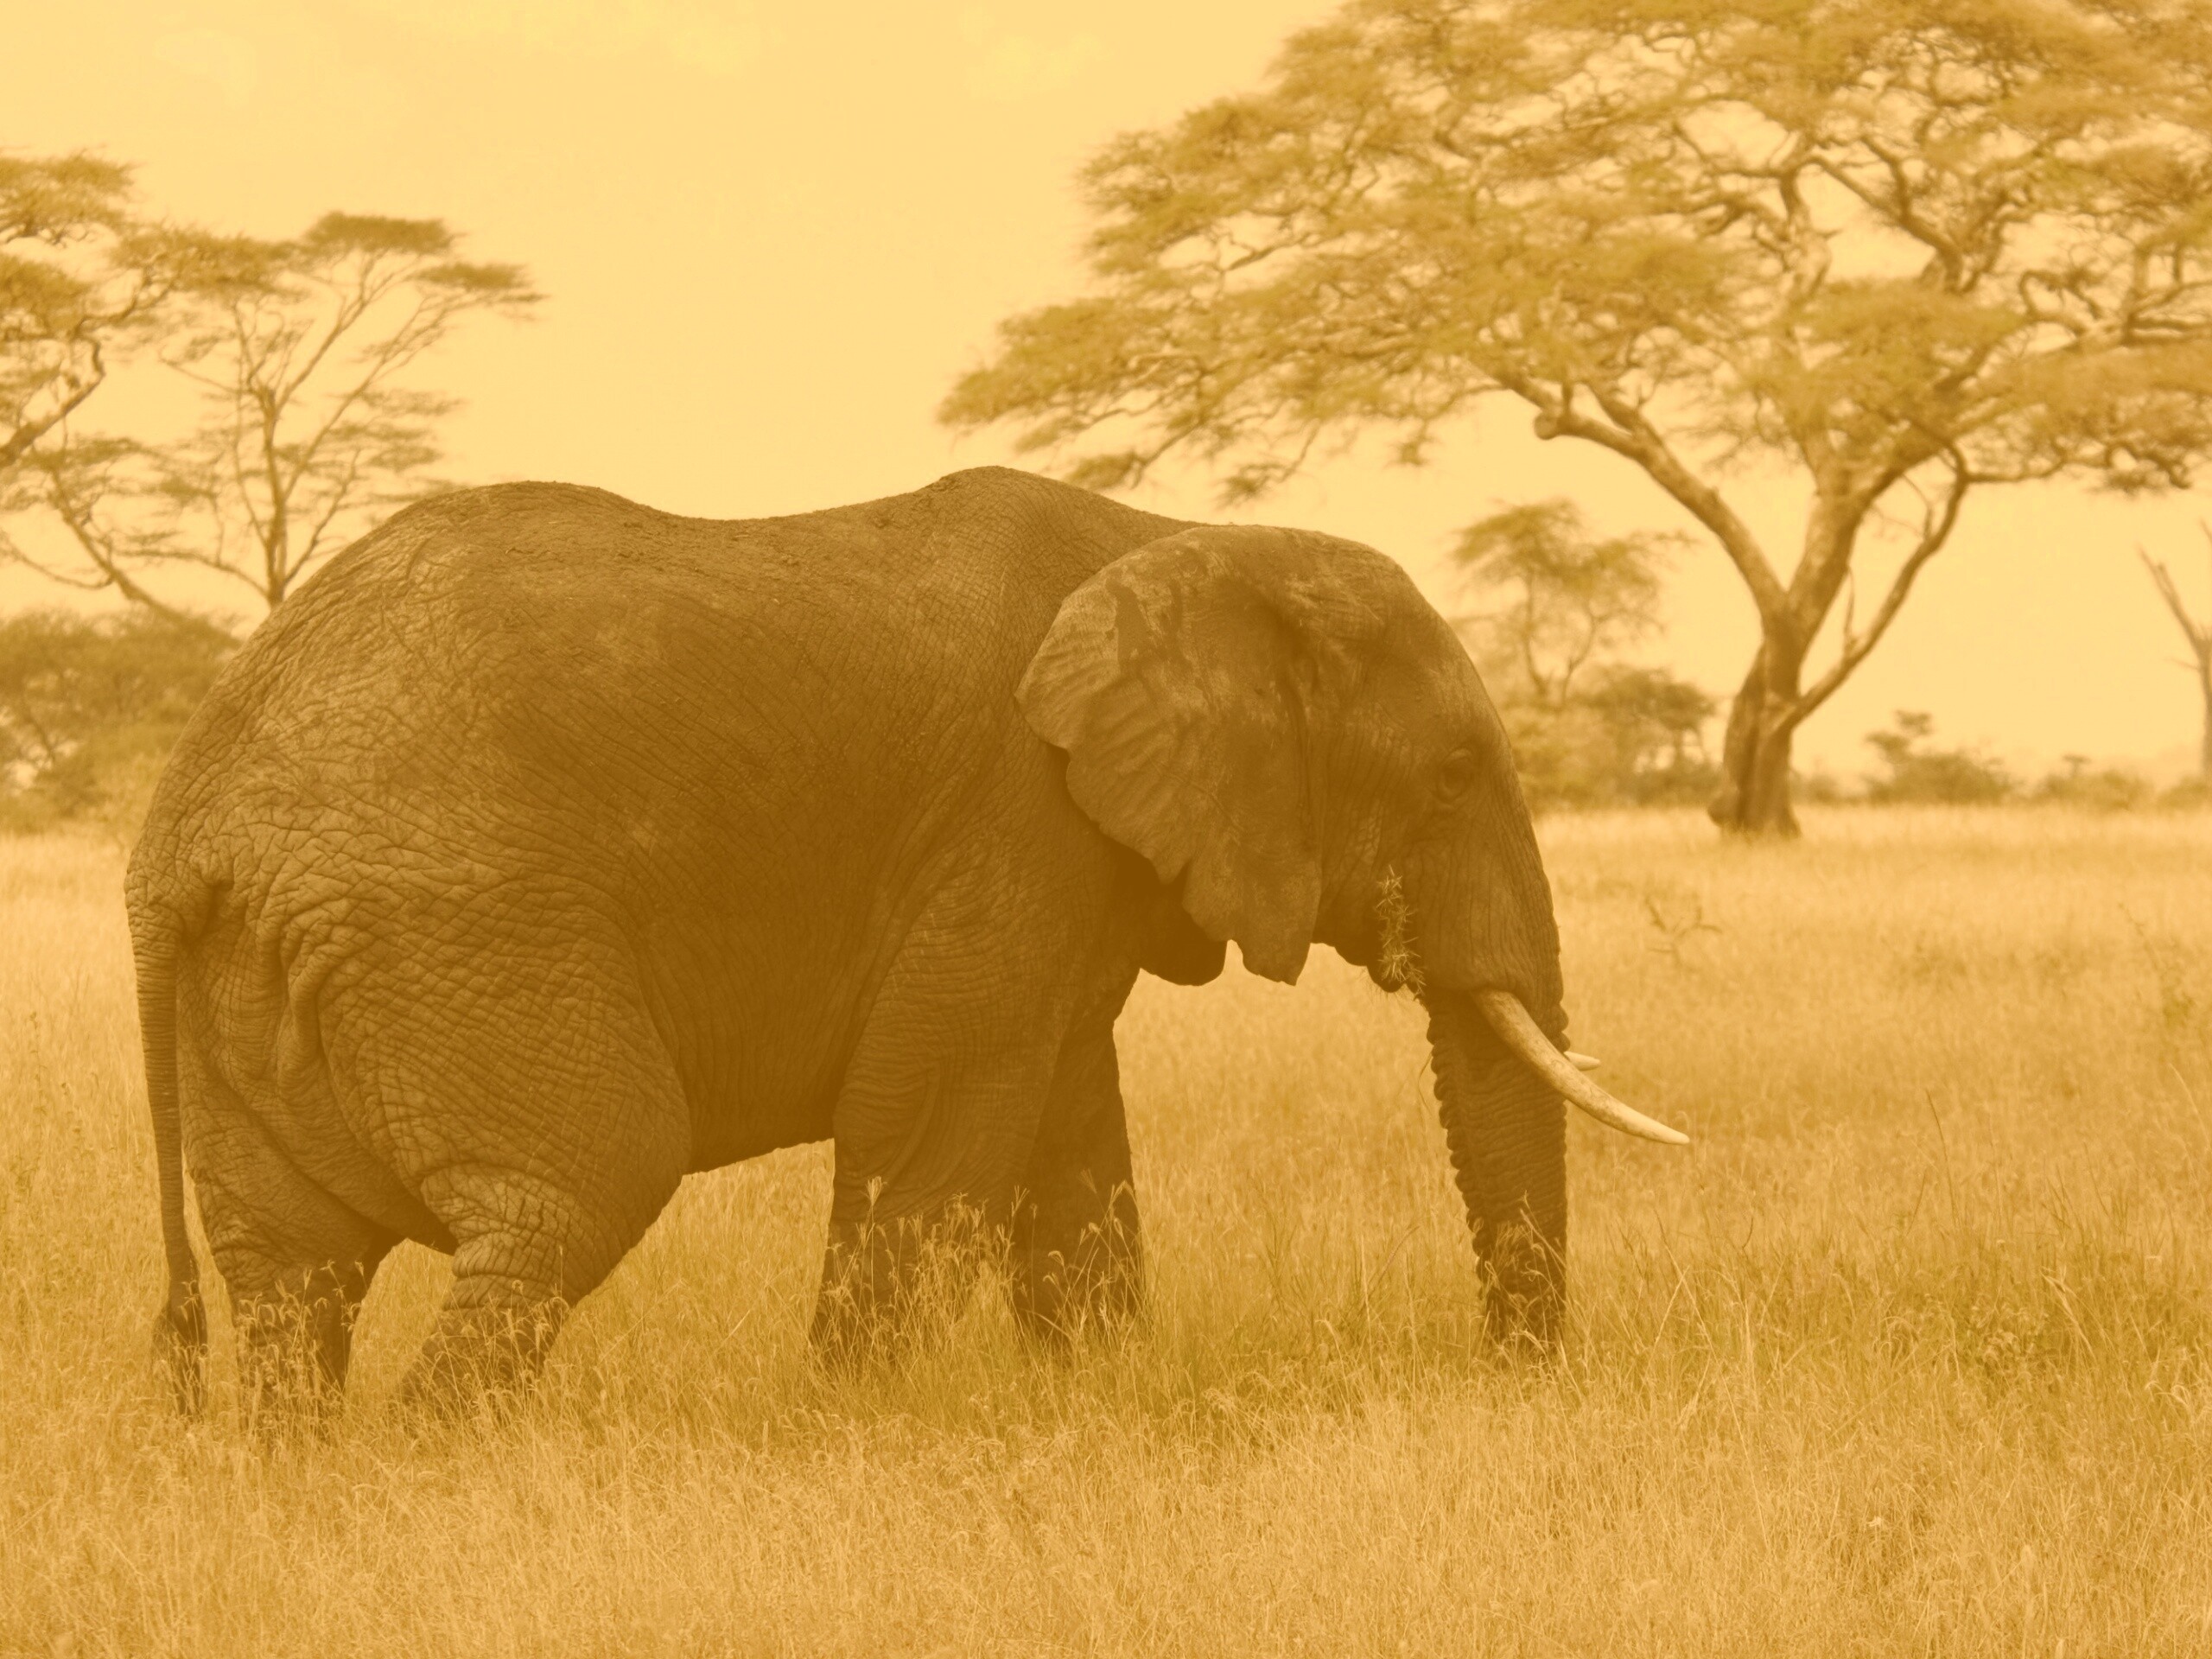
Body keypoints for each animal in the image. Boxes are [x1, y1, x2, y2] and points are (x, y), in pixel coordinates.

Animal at [128, 465, 1685, 1417]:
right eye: (1449, 779)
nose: (1512, 1381)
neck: (1178, 539)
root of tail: (182, 825)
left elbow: (1067, 1139)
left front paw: (1095, 1405)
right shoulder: (1016, 819)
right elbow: (935, 1120)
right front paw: (847, 1427)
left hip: (269, 979)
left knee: (292, 1279)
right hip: (457, 933)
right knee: (574, 1191)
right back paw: (435, 1469)